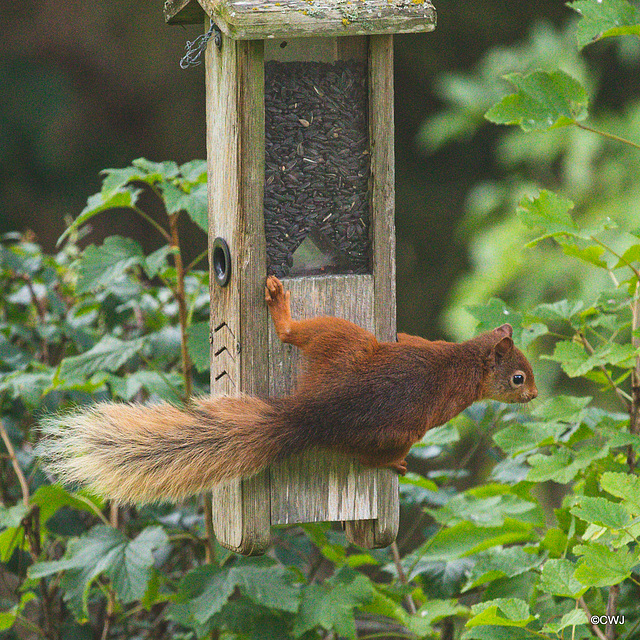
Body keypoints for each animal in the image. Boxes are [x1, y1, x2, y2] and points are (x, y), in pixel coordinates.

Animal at [37, 276, 536, 504]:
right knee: (367, 456)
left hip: (339, 345)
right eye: (518, 378)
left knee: (296, 335)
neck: (466, 360)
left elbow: (409, 339)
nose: (532, 397)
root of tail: (310, 413)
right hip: (375, 393)